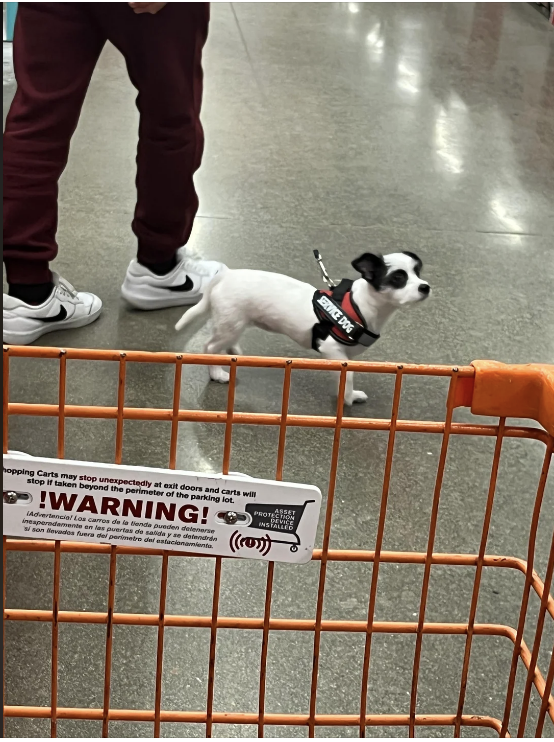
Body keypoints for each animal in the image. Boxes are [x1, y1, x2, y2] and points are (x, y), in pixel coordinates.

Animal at [175, 254, 430, 406]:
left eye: (418, 272)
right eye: (398, 278)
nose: (425, 287)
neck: (360, 305)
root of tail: (226, 276)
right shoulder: (332, 350)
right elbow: (348, 378)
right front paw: (347, 398)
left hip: (233, 324)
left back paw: (233, 351)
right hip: (230, 324)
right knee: (209, 347)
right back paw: (217, 373)